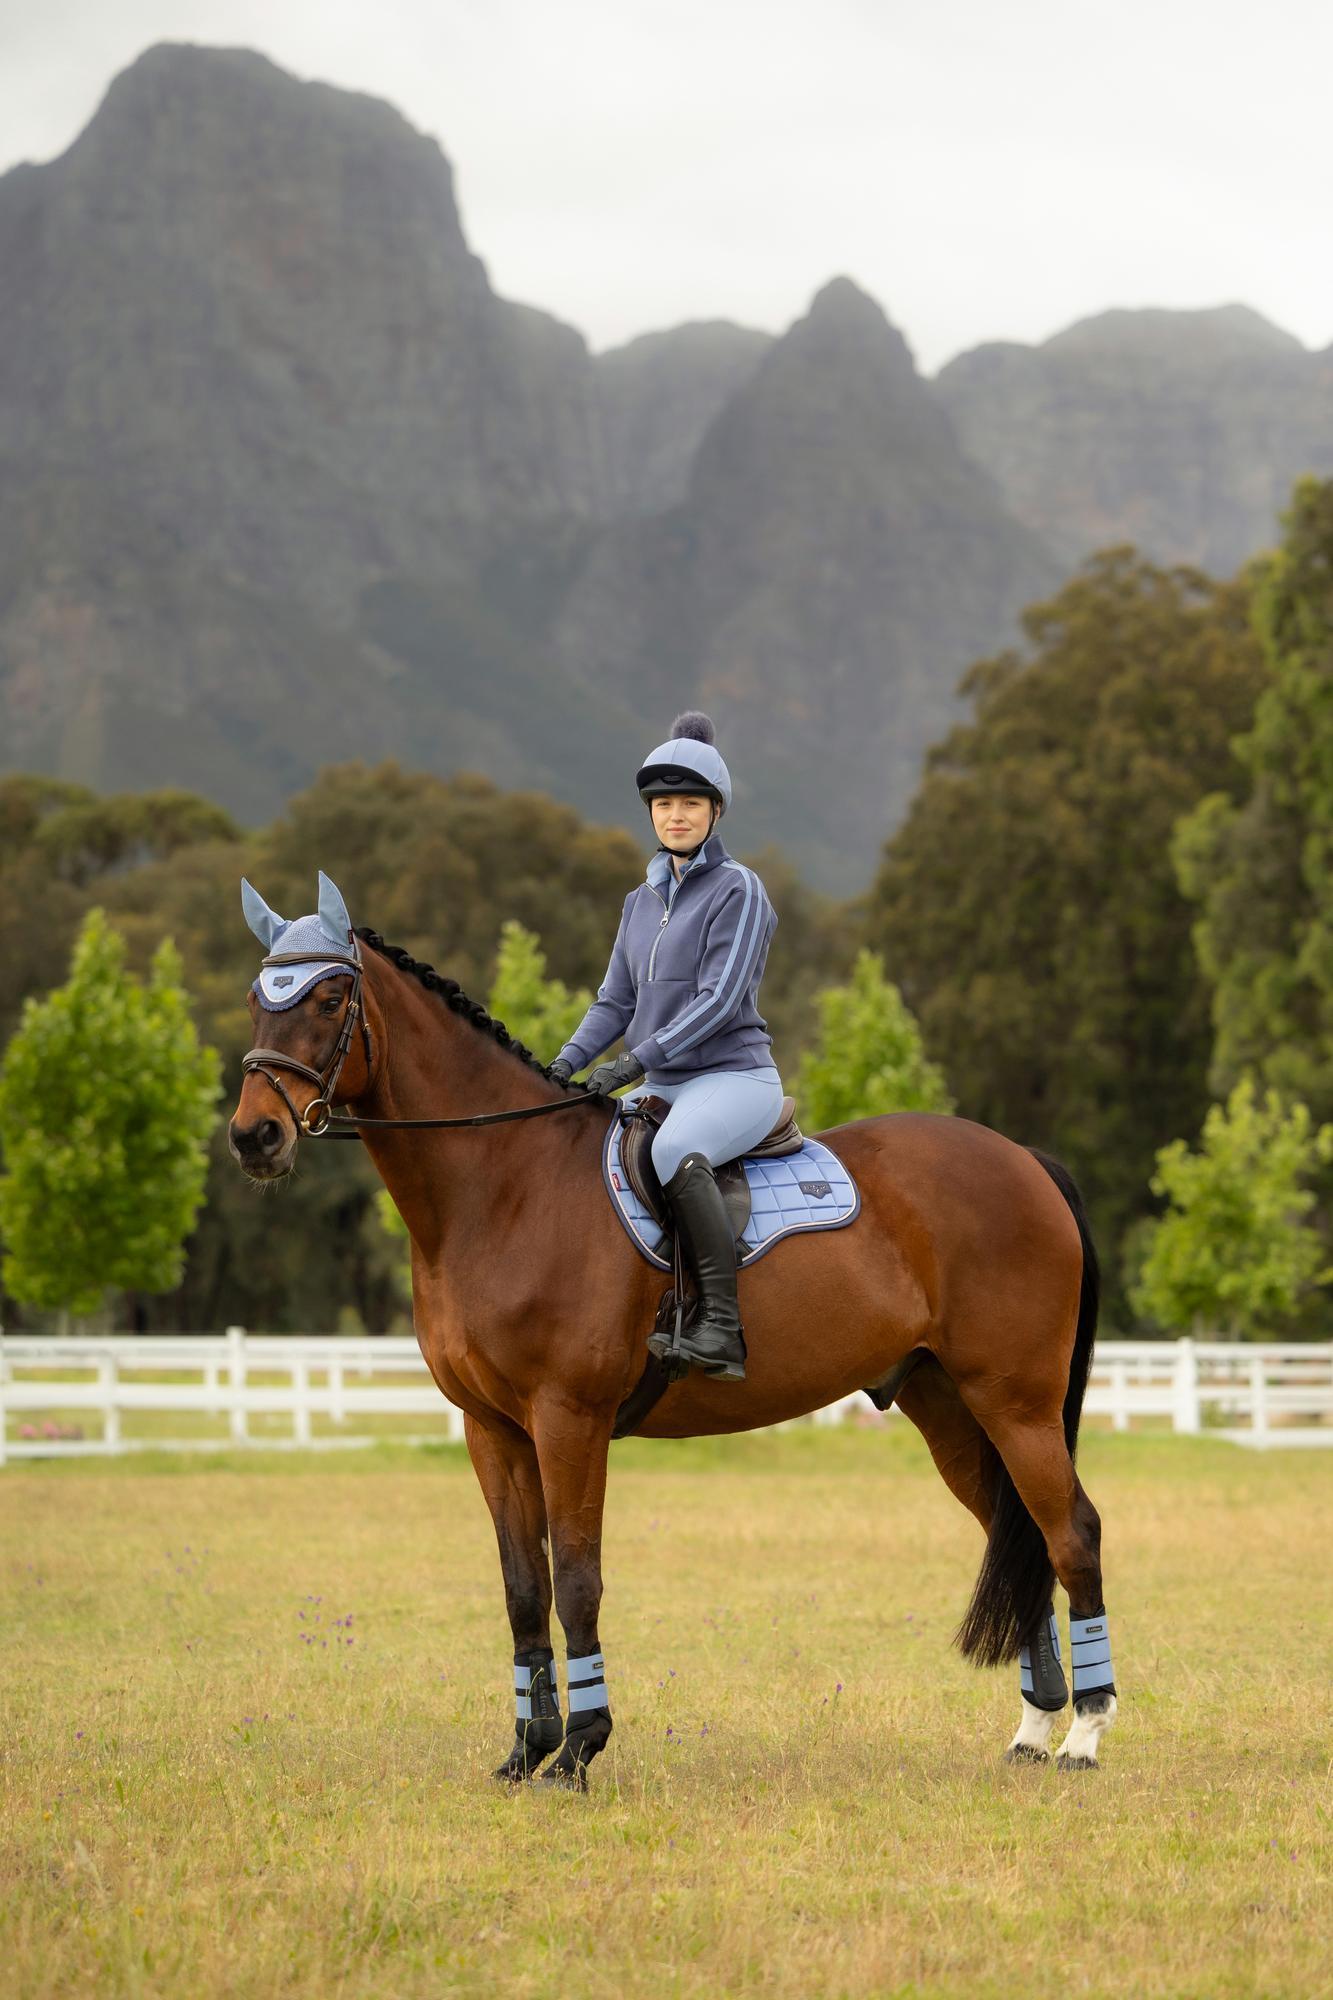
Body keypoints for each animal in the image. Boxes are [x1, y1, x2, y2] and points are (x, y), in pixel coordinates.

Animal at [228, 879, 1117, 1789]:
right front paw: (526, 1748)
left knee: (1070, 1534)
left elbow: (576, 1578)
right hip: (949, 1408)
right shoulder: (493, 1430)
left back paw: (1083, 1734)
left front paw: (579, 1748)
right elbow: (523, 1588)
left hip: (1015, 1404)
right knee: (1018, 1534)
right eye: (258, 1001)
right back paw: (1032, 1731)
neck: (504, 1188)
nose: (254, 1136)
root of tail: (1023, 1159)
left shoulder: (569, 1421)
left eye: (328, 999)